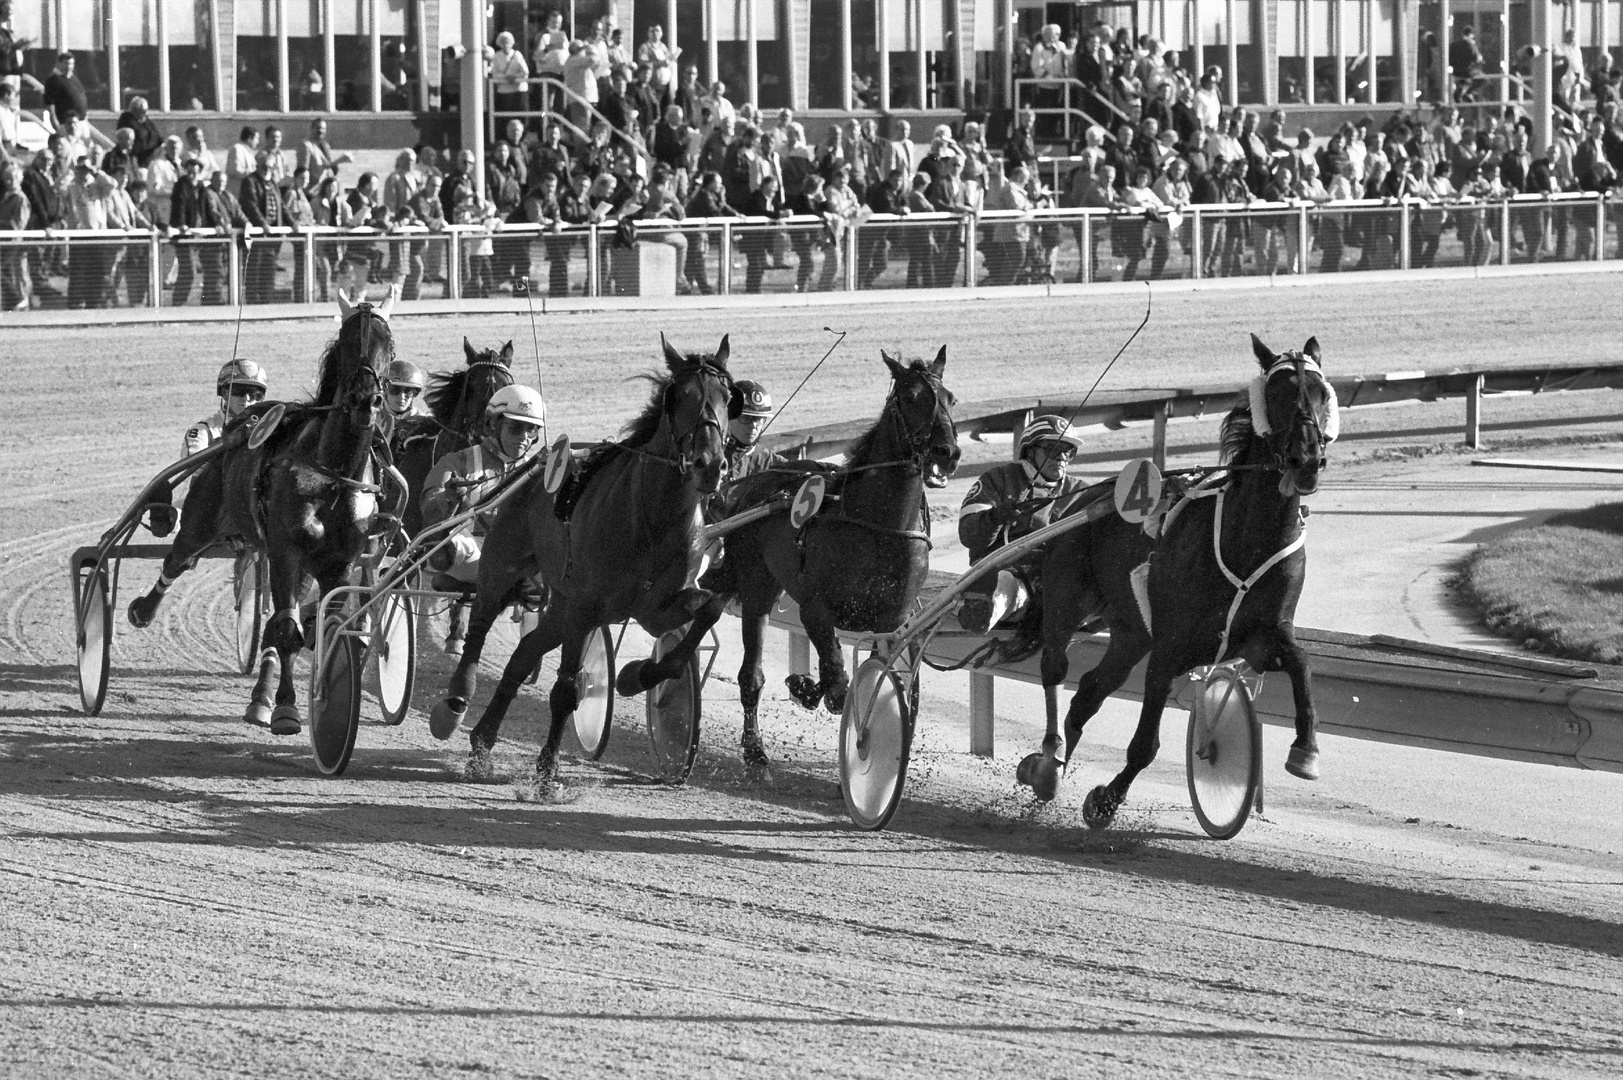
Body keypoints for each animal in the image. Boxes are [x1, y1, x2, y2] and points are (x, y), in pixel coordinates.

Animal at [124, 292, 394, 734]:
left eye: (388, 343)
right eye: (348, 341)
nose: (365, 400)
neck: (333, 472)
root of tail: (236, 431)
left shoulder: (338, 561)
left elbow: (324, 626)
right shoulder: (286, 550)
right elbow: (286, 631)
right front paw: (285, 707)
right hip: (202, 519)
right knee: (176, 560)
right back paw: (143, 609)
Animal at [431, 331, 736, 792]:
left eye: (727, 396)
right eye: (679, 394)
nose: (710, 464)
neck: (652, 516)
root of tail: (529, 471)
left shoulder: (657, 606)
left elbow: (710, 610)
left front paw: (638, 675)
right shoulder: (586, 606)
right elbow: (566, 691)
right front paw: (547, 771)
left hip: (560, 606)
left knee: (522, 656)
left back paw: (482, 743)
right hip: (506, 569)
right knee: (479, 628)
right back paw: (457, 700)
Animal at [717, 347, 954, 766]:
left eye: (950, 398)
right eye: (910, 397)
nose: (947, 452)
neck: (876, 526)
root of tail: (752, 489)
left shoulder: (893, 619)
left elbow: (872, 681)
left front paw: (808, 687)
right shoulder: (815, 609)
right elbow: (839, 680)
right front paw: (807, 687)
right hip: (757, 589)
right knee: (751, 675)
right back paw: (755, 747)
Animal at [1019, 332, 1337, 821]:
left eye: (1322, 393)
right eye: (1279, 394)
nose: (1307, 460)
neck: (1246, 540)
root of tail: (1080, 501)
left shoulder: (1261, 637)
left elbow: (1301, 661)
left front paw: (1306, 751)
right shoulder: (1169, 648)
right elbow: (1144, 745)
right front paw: (1106, 800)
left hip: (1131, 633)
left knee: (1088, 692)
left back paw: (1053, 769)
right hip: (1066, 598)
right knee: (1055, 668)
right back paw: (1048, 763)